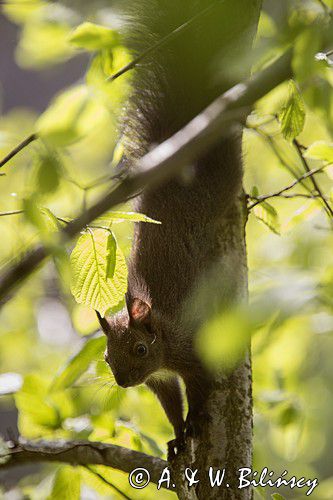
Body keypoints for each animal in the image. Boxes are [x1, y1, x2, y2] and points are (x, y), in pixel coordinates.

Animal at [96, 0, 241, 452]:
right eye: (106, 356)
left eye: (141, 350)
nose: (124, 382)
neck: (158, 323)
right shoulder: (159, 380)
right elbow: (169, 402)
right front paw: (178, 434)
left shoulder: (190, 353)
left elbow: (199, 389)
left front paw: (195, 421)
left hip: (225, 177)